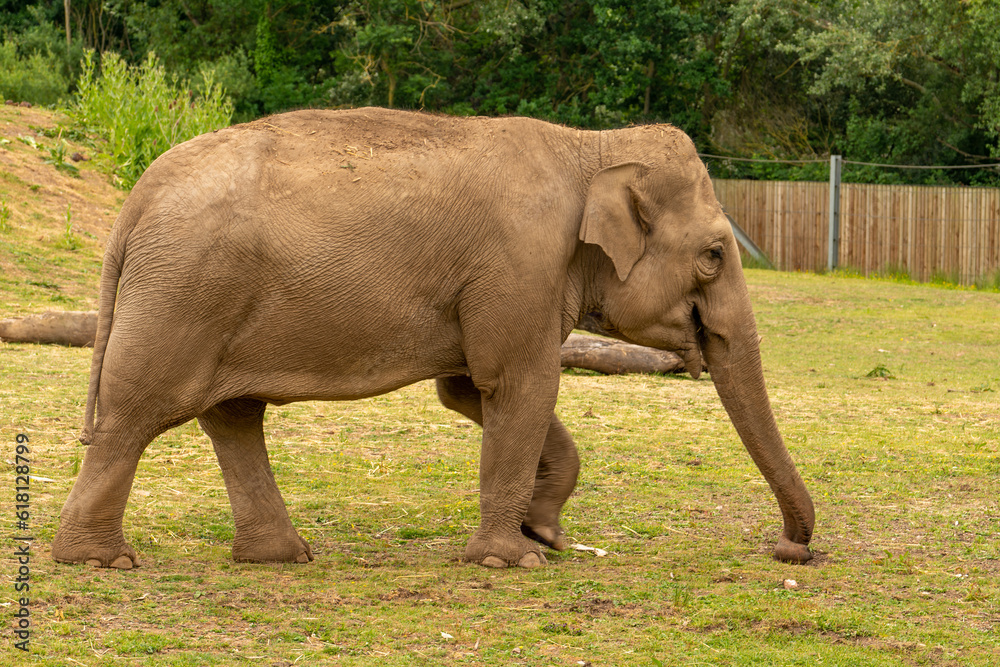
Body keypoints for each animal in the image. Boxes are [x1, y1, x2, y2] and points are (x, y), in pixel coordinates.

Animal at [51, 107, 815, 570]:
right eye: (714, 254)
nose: (789, 550)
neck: (588, 146)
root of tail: (137, 195)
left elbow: (469, 389)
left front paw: (545, 533)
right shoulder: (519, 267)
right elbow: (521, 384)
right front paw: (513, 559)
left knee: (233, 417)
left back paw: (280, 556)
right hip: (183, 293)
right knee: (136, 414)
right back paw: (98, 560)